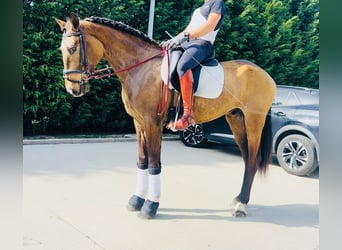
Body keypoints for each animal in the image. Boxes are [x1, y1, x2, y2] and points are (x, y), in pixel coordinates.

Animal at [54, 12, 276, 219]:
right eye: (61, 50)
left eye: (73, 48)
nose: (72, 89)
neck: (140, 67)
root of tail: (266, 75)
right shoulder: (138, 123)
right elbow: (142, 161)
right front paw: (136, 200)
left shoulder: (153, 123)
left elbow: (154, 163)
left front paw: (150, 207)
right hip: (236, 119)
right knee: (247, 159)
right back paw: (238, 200)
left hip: (253, 121)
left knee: (252, 160)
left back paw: (241, 205)